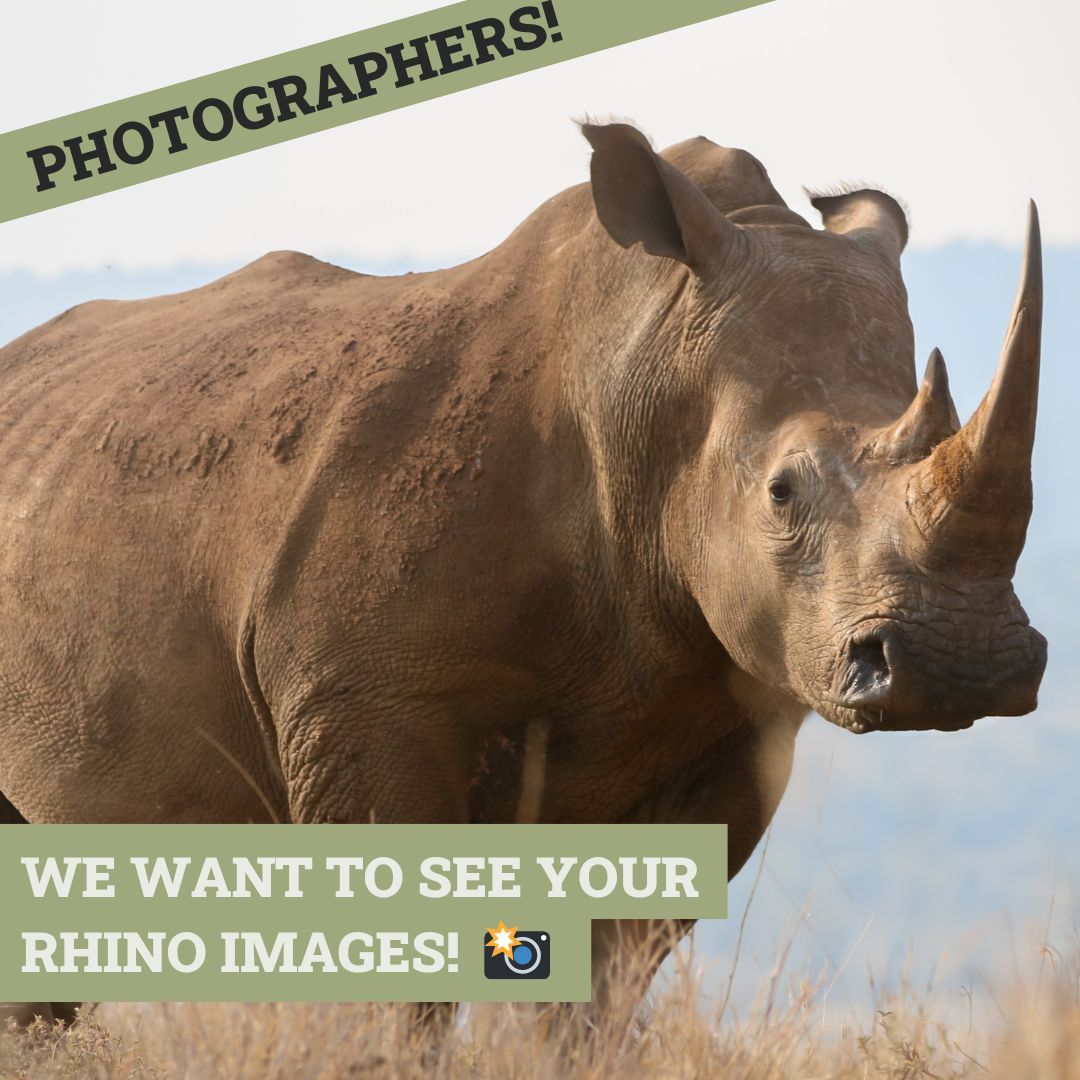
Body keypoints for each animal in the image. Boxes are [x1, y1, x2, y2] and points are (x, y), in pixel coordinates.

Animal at [0, 121, 1045, 1024]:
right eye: (783, 492)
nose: (964, 668)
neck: (644, 374)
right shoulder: (365, 702)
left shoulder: (731, 728)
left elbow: (602, 983)